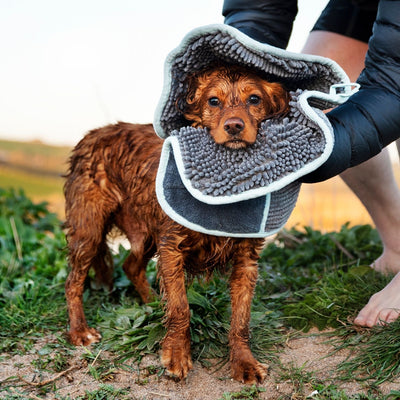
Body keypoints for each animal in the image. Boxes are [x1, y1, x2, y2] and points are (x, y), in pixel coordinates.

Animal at [64, 65, 290, 382]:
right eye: (213, 101)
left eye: (255, 99)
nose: (234, 125)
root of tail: (92, 134)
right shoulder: (172, 246)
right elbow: (181, 307)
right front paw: (177, 354)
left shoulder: (246, 260)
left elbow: (241, 320)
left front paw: (244, 362)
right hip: (90, 228)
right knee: (73, 281)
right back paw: (80, 331)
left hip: (146, 233)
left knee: (130, 266)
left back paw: (150, 303)